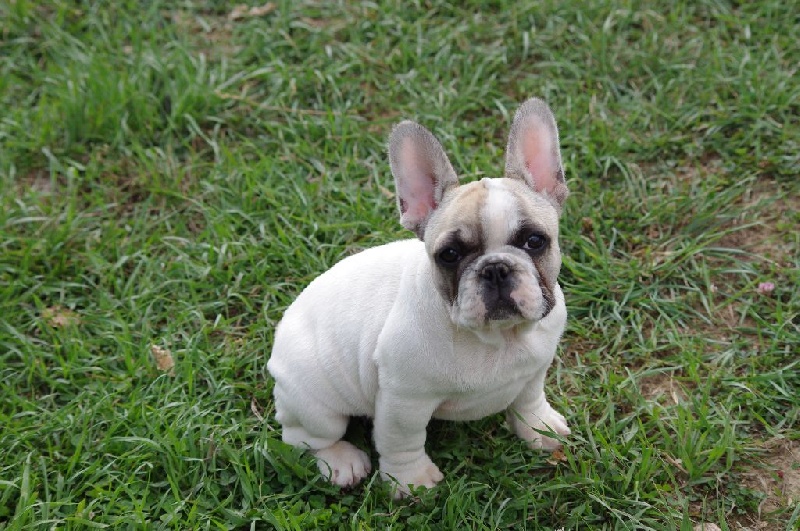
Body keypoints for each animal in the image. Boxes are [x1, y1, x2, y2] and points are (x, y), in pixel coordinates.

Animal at [267, 98, 571, 497]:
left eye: (535, 241)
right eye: (450, 255)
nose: (495, 269)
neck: (497, 339)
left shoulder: (535, 369)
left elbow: (529, 398)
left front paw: (538, 426)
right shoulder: (404, 401)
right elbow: (402, 441)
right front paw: (411, 480)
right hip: (316, 403)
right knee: (303, 436)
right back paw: (341, 461)